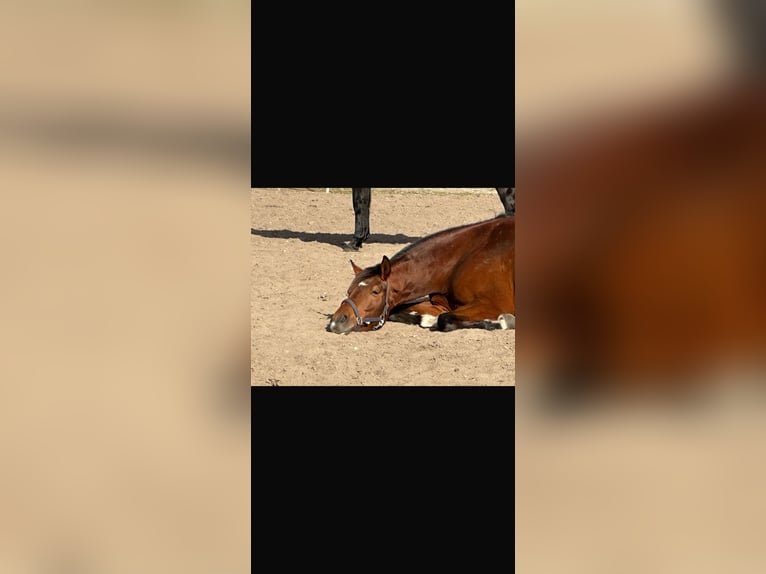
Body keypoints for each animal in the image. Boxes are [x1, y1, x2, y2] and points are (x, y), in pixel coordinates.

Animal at [328, 216, 515, 334]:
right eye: (349, 291)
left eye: (375, 291)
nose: (336, 321)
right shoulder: (441, 304)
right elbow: (398, 311)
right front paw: (426, 319)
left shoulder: (491, 304)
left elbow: (445, 320)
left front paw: (501, 322)